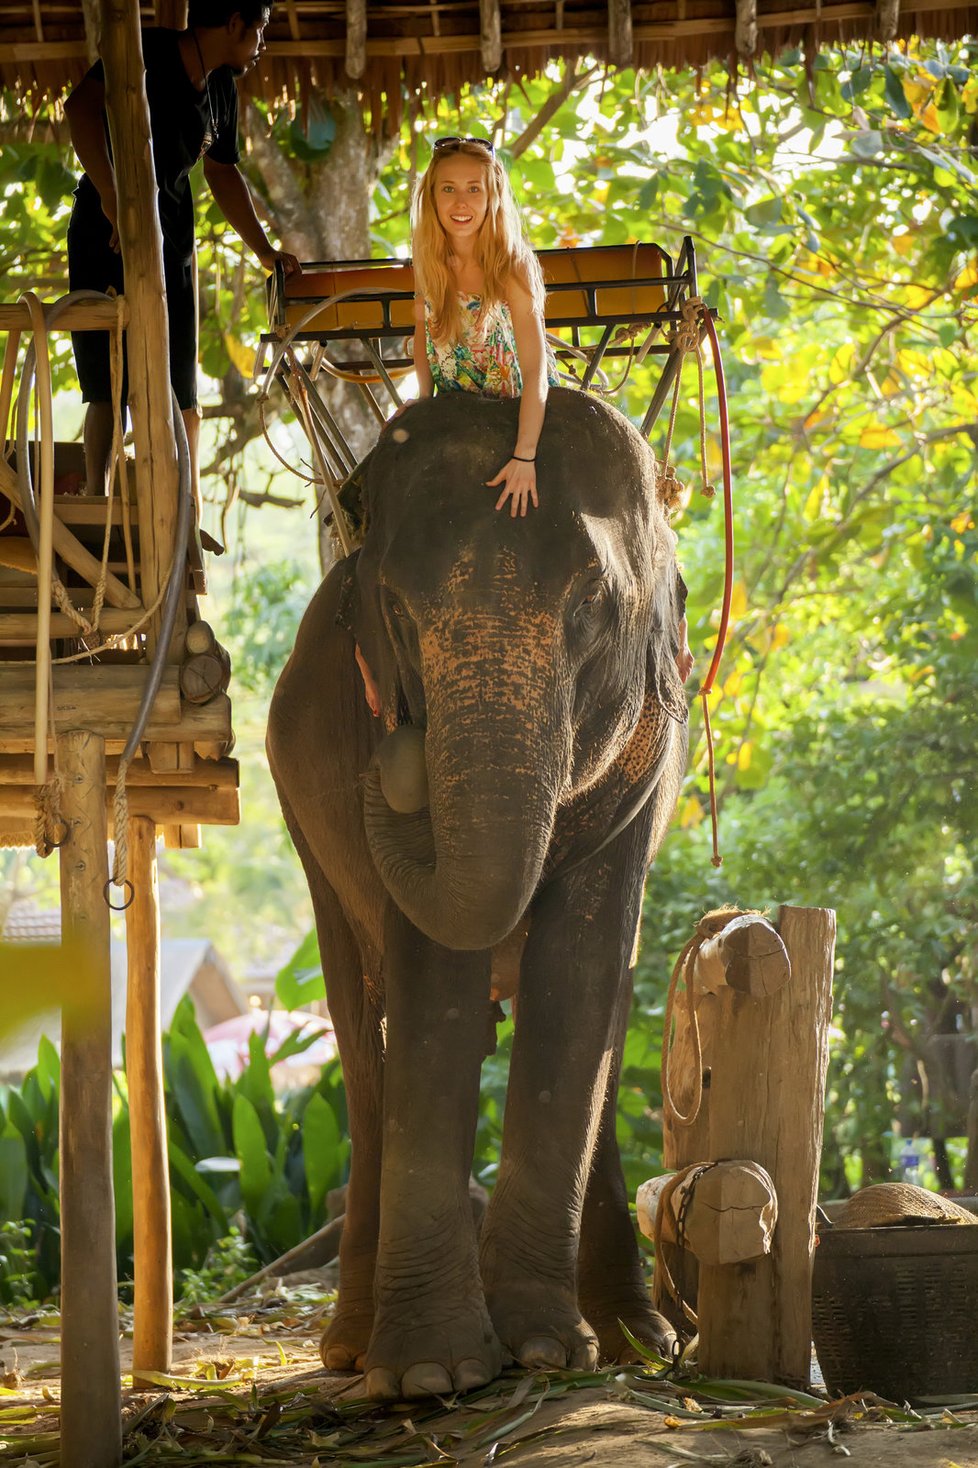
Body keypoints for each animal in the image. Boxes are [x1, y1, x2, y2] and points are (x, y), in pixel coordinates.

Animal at [268, 387, 684, 1397]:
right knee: (359, 1036)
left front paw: (541, 1349)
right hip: (307, 839)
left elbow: (578, 980)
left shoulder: (646, 769)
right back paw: (353, 1348)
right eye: (390, 609)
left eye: (592, 603)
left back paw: (636, 1340)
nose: (395, 764)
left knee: (602, 1028)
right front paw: (433, 1373)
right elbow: (430, 989)